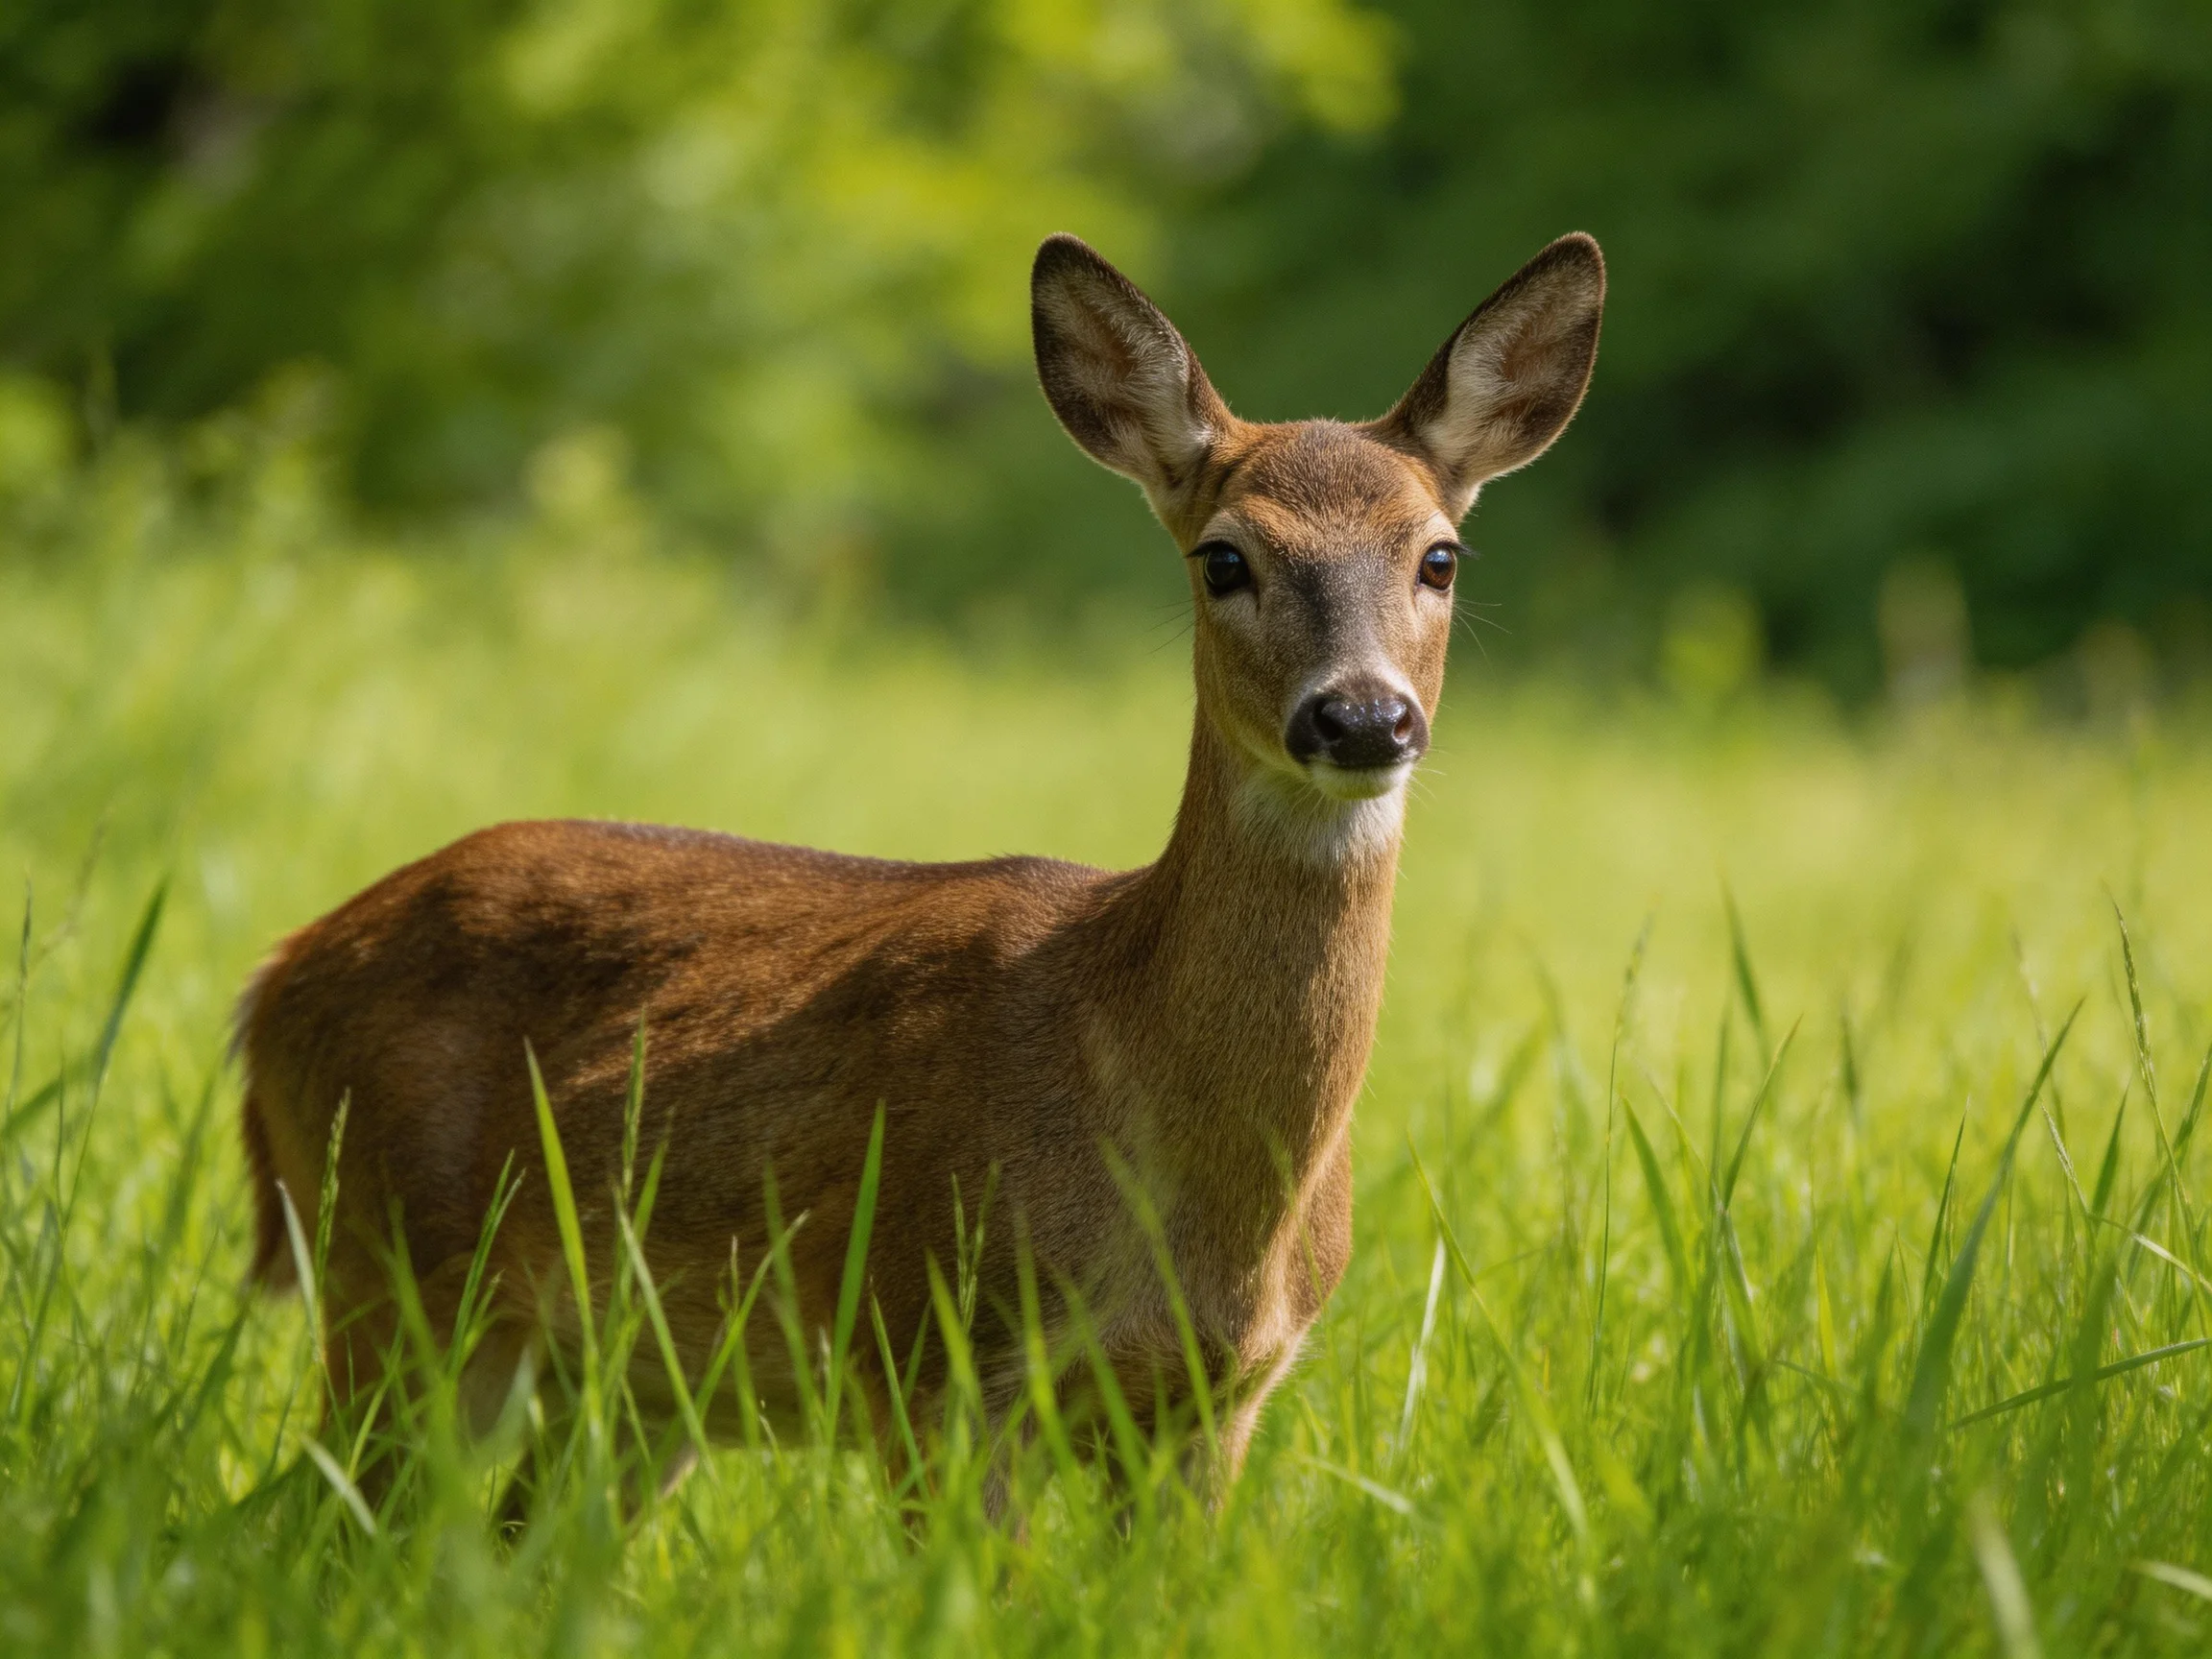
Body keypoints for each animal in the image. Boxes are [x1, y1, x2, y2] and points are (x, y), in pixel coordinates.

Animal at [234, 230, 1605, 1511]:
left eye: (1439, 557)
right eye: (1224, 557)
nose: (1362, 718)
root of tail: (272, 980)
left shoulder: (1217, 1407)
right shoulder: (933, 1359)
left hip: (620, 1388)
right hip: (393, 1280)